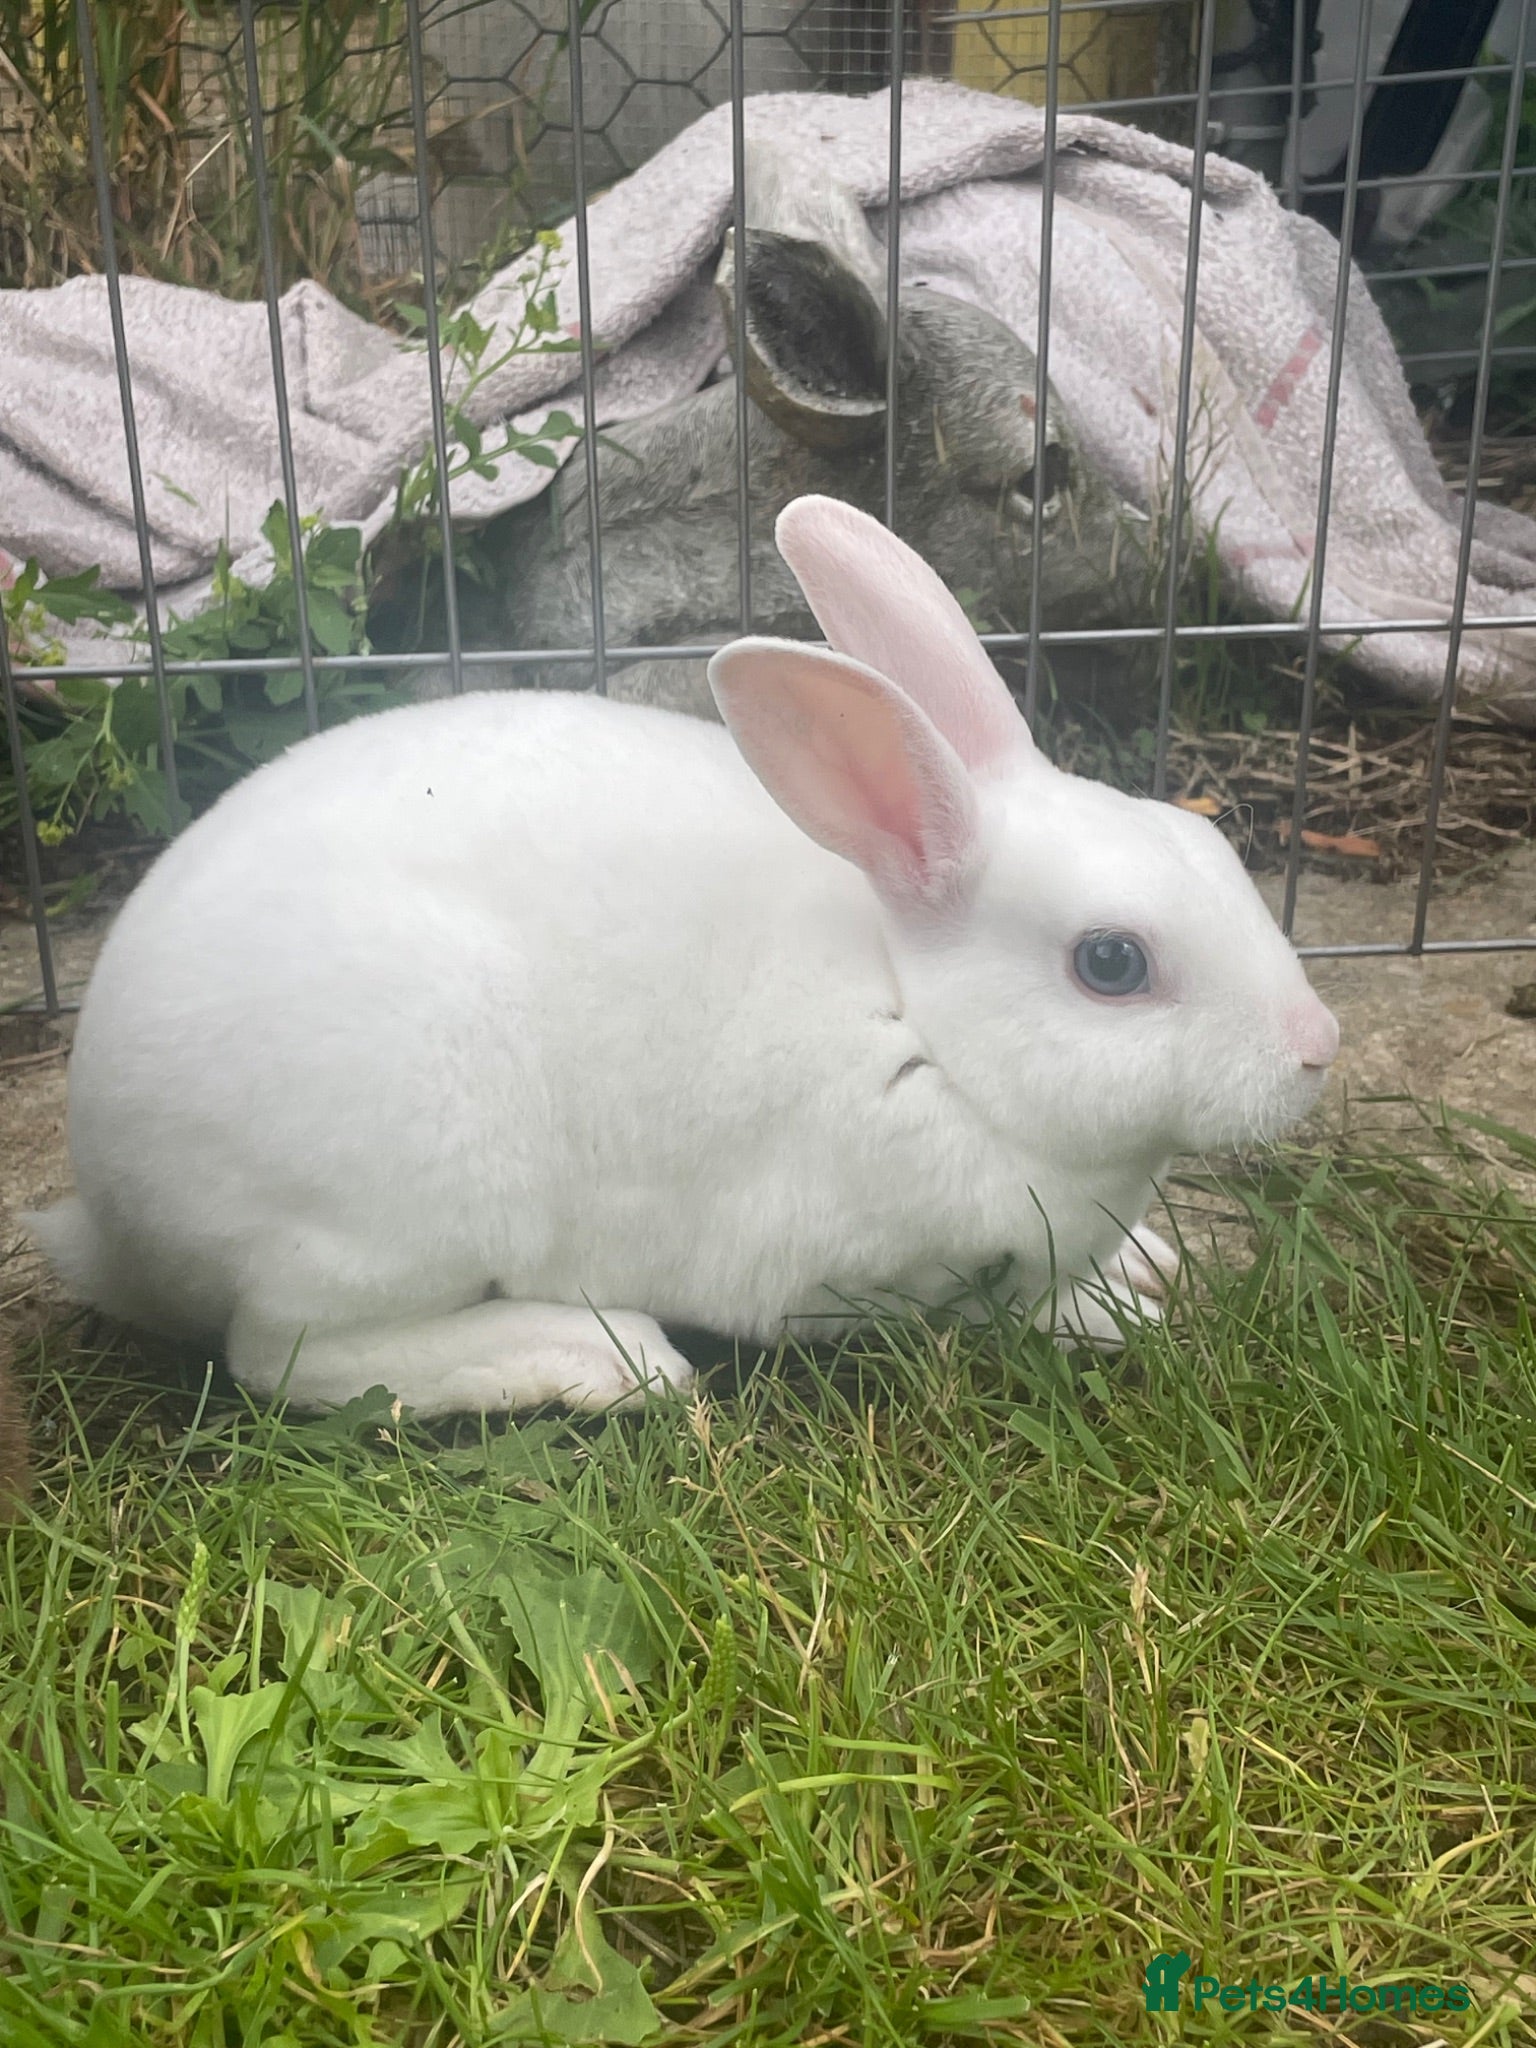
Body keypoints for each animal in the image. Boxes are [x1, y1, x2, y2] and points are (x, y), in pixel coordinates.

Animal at [28, 495, 1338, 1417]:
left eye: (1209, 843)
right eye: (1111, 963)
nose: (1318, 1048)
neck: (919, 1021)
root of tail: (111, 1209)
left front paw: (1148, 1267)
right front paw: (1116, 1314)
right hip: (406, 1185)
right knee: (289, 1354)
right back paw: (597, 1360)